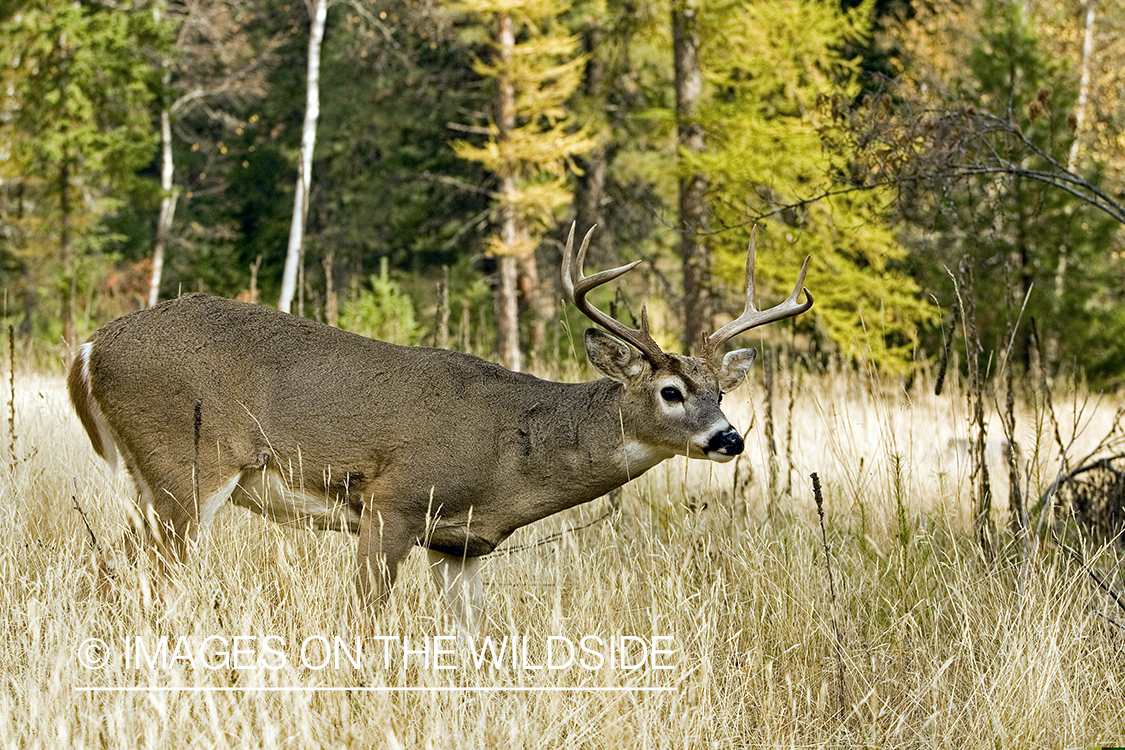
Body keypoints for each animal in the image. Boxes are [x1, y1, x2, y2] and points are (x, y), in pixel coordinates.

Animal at [68, 224, 810, 634]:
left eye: (721, 391)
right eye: (670, 391)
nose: (729, 439)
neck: (512, 451)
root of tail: (89, 348)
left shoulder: (461, 544)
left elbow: (473, 640)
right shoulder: (393, 500)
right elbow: (362, 619)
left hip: (153, 478)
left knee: (107, 564)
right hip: (186, 468)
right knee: (126, 569)